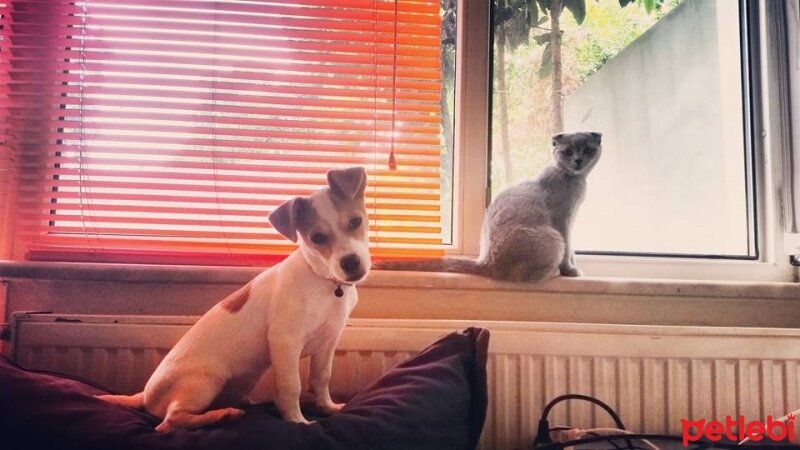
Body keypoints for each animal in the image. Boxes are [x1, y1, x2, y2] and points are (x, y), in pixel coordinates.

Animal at [100, 167, 372, 430]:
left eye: (355, 221)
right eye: (317, 238)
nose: (350, 263)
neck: (323, 281)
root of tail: (144, 395)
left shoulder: (328, 342)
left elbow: (321, 378)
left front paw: (328, 407)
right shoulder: (286, 342)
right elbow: (291, 386)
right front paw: (297, 420)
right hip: (206, 381)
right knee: (170, 422)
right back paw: (222, 416)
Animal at [376, 131, 600, 282]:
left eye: (588, 150)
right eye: (568, 151)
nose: (578, 160)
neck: (576, 181)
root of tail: (485, 261)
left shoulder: (571, 220)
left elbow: (572, 250)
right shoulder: (563, 221)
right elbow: (569, 249)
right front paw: (571, 271)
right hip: (553, 237)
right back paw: (553, 273)